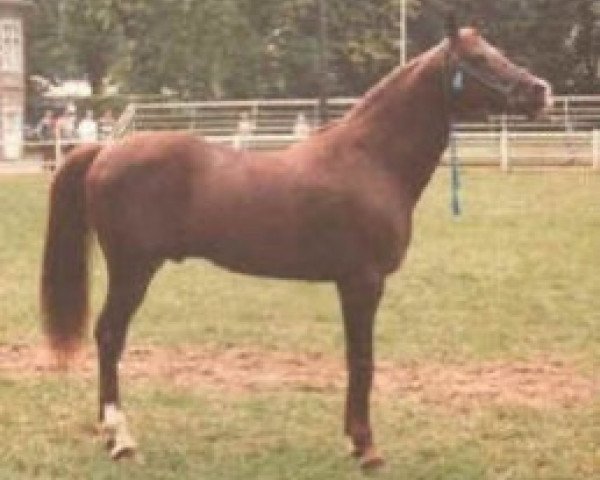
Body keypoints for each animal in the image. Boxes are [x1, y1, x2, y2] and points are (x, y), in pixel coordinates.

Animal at [39, 23, 552, 468]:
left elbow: (355, 359)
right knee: (109, 335)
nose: (541, 90)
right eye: (478, 58)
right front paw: (367, 447)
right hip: (133, 270)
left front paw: (354, 440)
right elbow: (362, 360)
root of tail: (106, 151)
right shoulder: (363, 282)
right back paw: (121, 438)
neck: (371, 160)